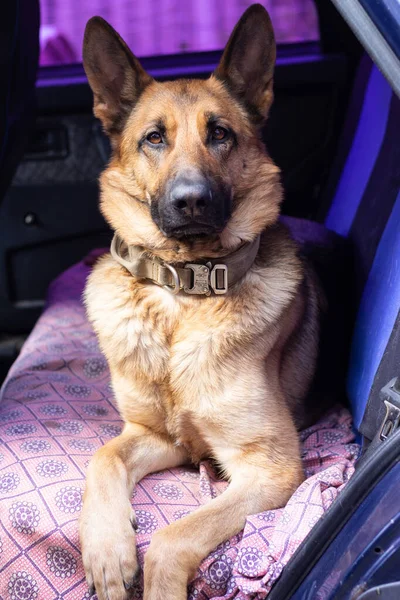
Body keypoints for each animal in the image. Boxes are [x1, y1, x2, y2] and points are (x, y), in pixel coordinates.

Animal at [79, 4, 324, 600]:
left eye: (219, 134)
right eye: (153, 138)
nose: (191, 201)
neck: (183, 296)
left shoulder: (270, 469)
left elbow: (173, 539)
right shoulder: (156, 436)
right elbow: (102, 457)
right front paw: (107, 551)